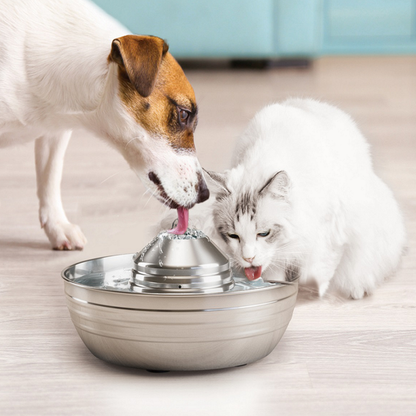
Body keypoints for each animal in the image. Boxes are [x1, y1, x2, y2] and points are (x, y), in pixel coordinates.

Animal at [163, 98, 406, 300]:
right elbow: (274, 272)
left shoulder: (329, 230)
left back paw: (357, 289)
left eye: (264, 233)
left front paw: (315, 289)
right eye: (233, 235)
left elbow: (323, 267)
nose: (248, 259)